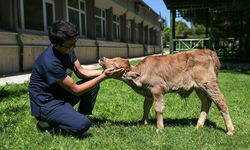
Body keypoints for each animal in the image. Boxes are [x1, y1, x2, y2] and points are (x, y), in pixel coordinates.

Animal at [98, 49, 234, 135]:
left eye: (114, 63)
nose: (101, 58)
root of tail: (208, 51)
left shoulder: (157, 89)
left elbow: (158, 108)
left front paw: (159, 128)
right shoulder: (149, 94)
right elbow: (146, 106)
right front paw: (144, 122)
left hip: (209, 83)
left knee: (220, 101)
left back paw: (230, 130)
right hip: (199, 88)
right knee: (206, 102)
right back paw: (198, 125)